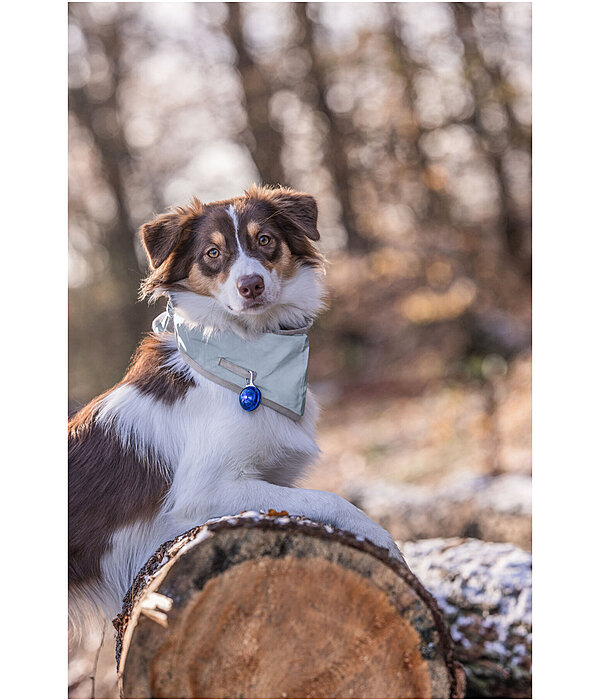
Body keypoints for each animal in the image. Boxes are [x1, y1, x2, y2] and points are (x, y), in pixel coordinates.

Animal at [70, 183, 404, 644]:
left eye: (264, 239)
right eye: (212, 253)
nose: (251, 286)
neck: (248, 355)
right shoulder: (205, 492)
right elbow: (328, 498)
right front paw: (384, 541)